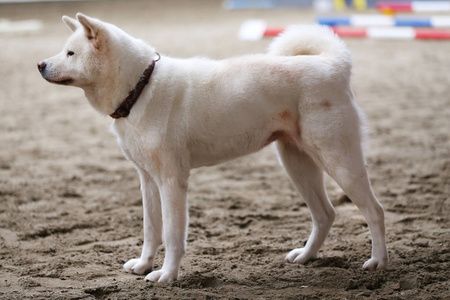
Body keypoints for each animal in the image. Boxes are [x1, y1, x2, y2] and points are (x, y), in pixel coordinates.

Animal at [38, 13, 388, 282]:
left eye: (71, 53)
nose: (40, 64)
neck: (140, 87)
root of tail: (332, 64)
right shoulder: (148, 181)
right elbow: (151, 229)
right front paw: (143, 265)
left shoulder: (172, 182)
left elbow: (172, 234)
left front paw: (166, 275)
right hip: (297, 164)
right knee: (325, 214)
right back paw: (305, 256)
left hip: (339, 160)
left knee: (374, 211)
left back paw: (378, 263)